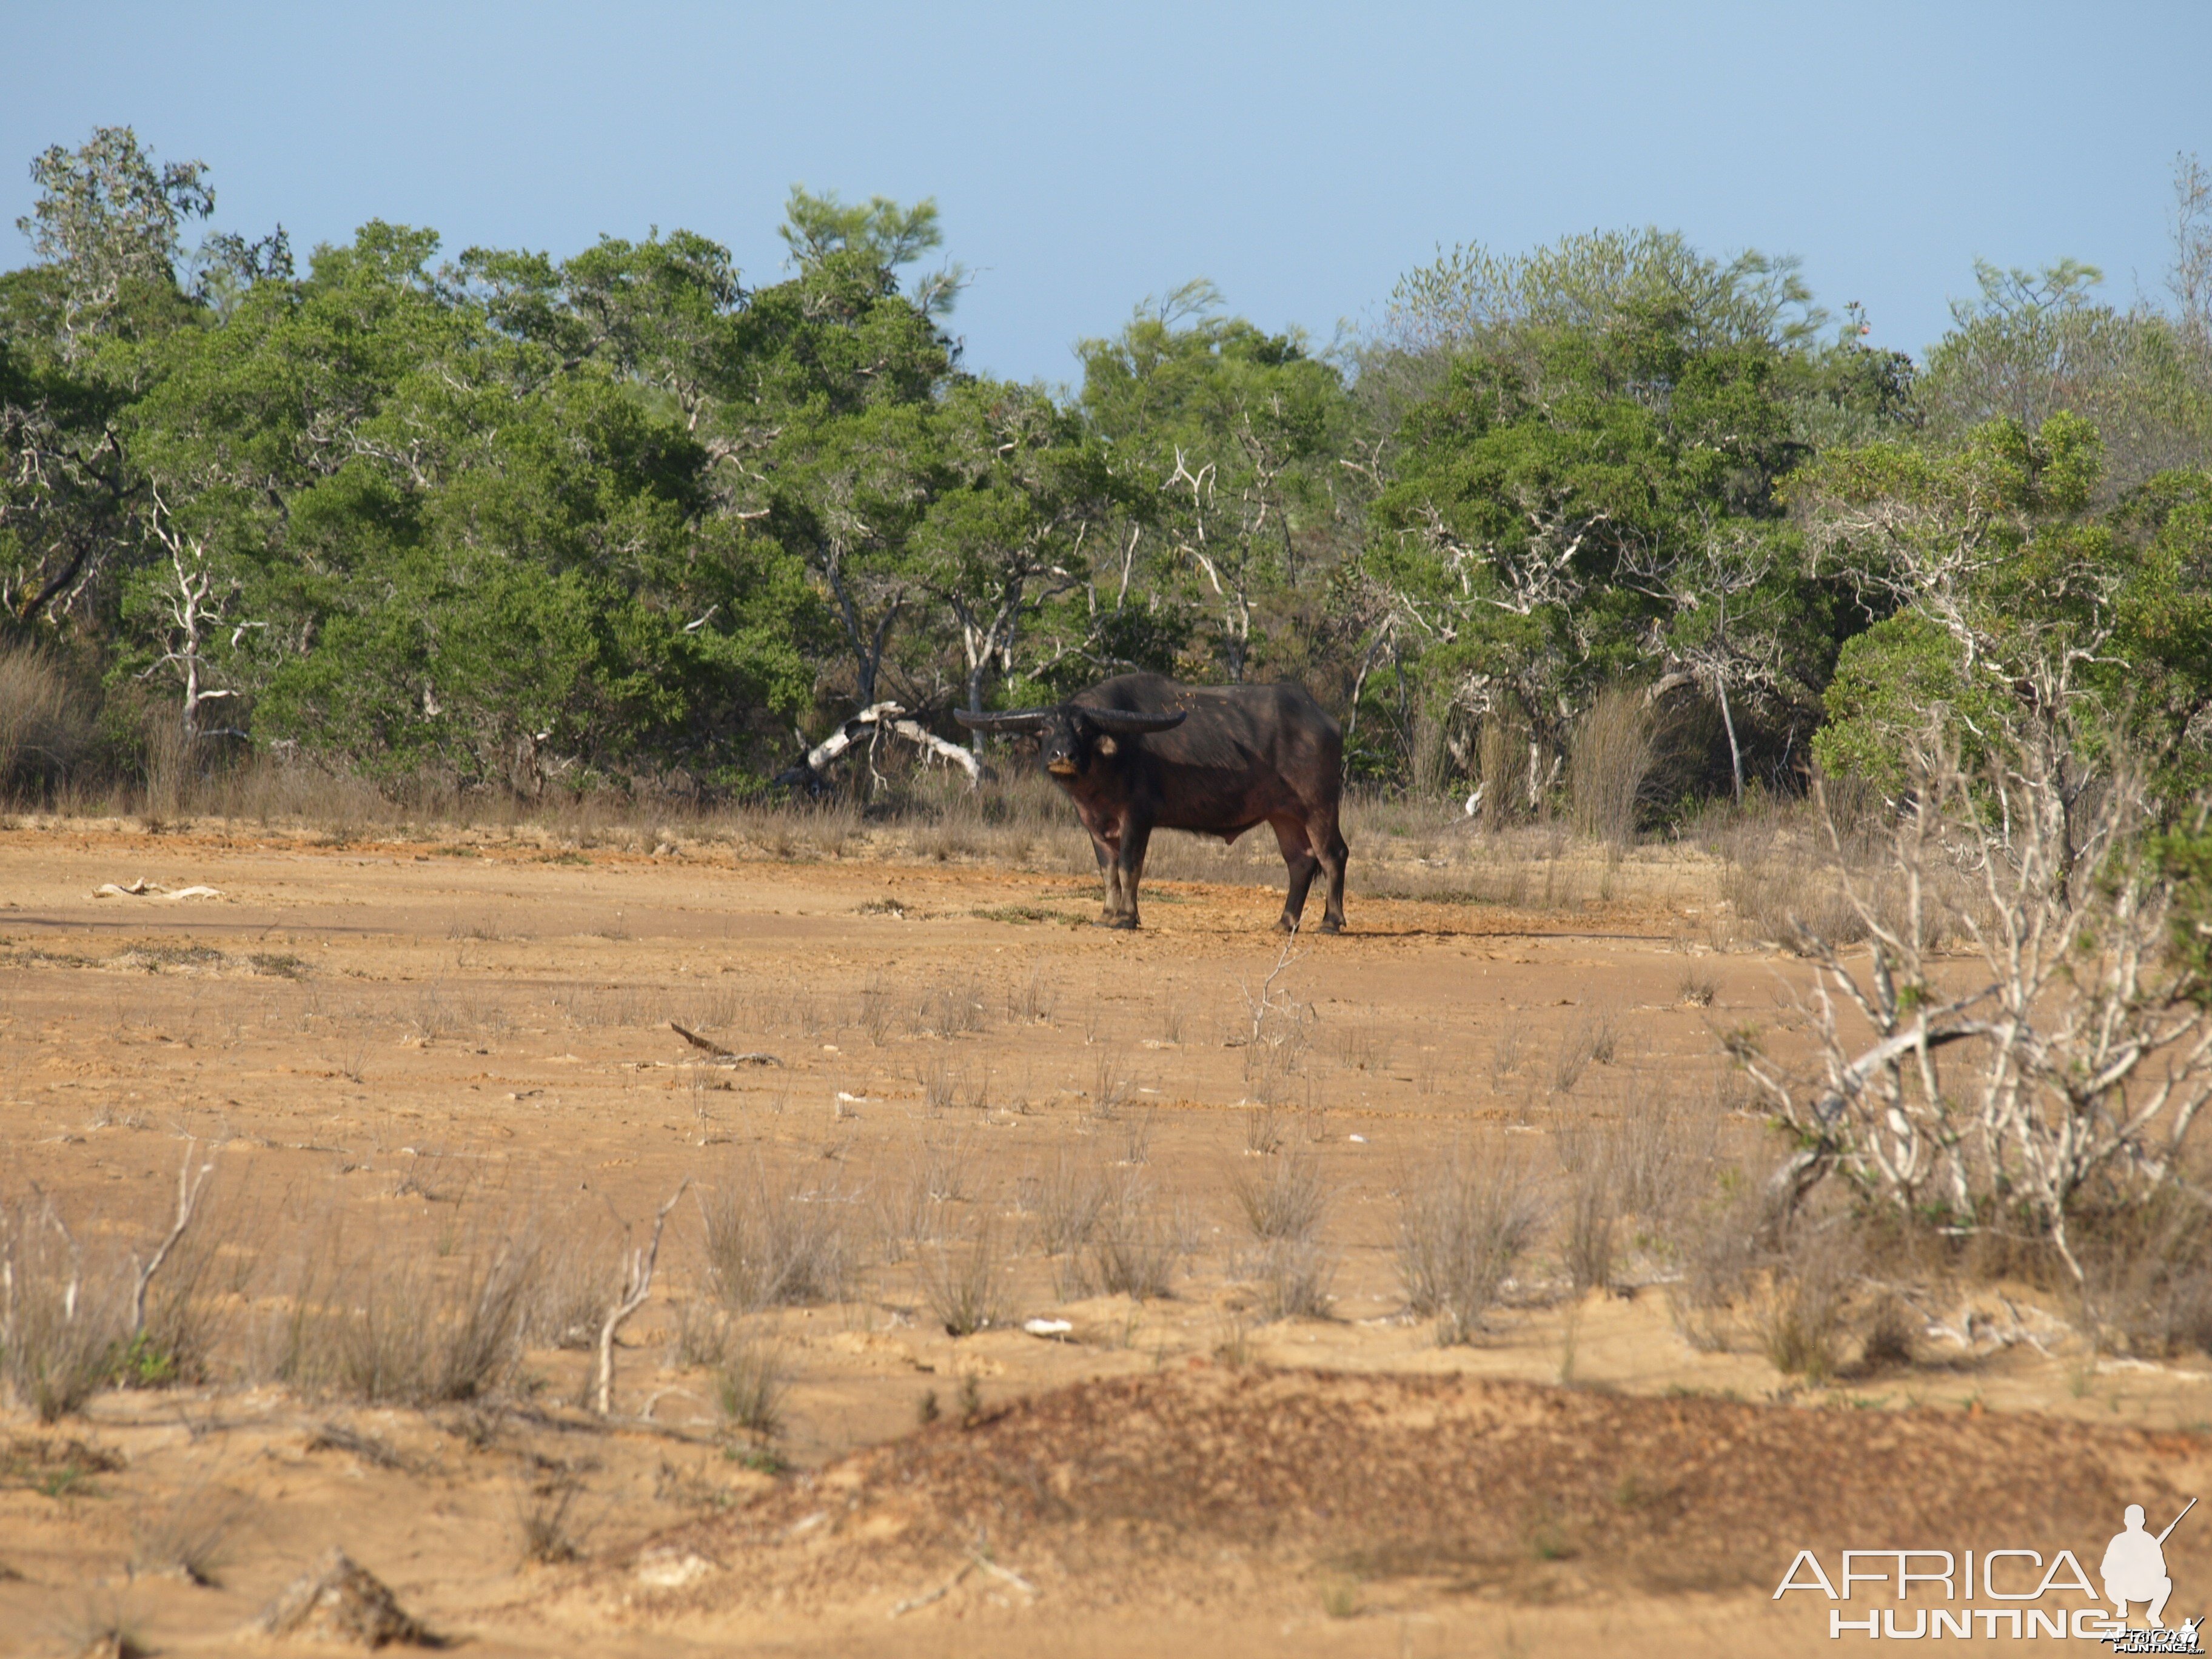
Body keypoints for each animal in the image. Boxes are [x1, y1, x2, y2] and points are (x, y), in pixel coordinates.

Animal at [955, 677, 1344, 937]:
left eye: (1083, 729)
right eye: (1046, 729)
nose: (1062, 755)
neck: (1106, 770)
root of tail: (1326, 721)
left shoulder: (1137, 818)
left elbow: (1129, 867)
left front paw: (1127, 918)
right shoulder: (1094, 824)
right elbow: (1107, 872)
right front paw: (1107, 915)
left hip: (1320, 806)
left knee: (1333, 854)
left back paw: (1331, 922)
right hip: (1285, 816)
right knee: (1300, 862)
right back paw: (1285, 922)